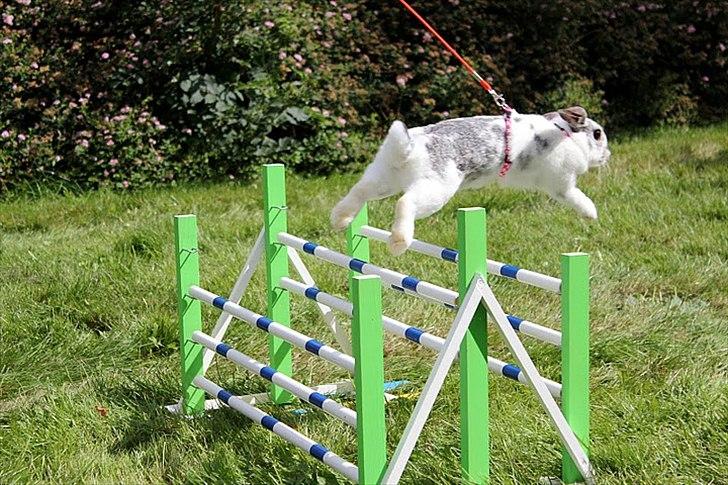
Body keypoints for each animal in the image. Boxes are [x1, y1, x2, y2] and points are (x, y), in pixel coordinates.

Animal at [330, 106, 608, 255]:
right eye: (597, 134)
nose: (608, 155)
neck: (563, 133)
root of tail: (411, 147)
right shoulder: (561, 184)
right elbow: (576, 196)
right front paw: (591, 214)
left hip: (385, 177)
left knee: (359, 192)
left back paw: (339, 219)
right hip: (436, 188)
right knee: (405, 203)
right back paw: (399, 242)